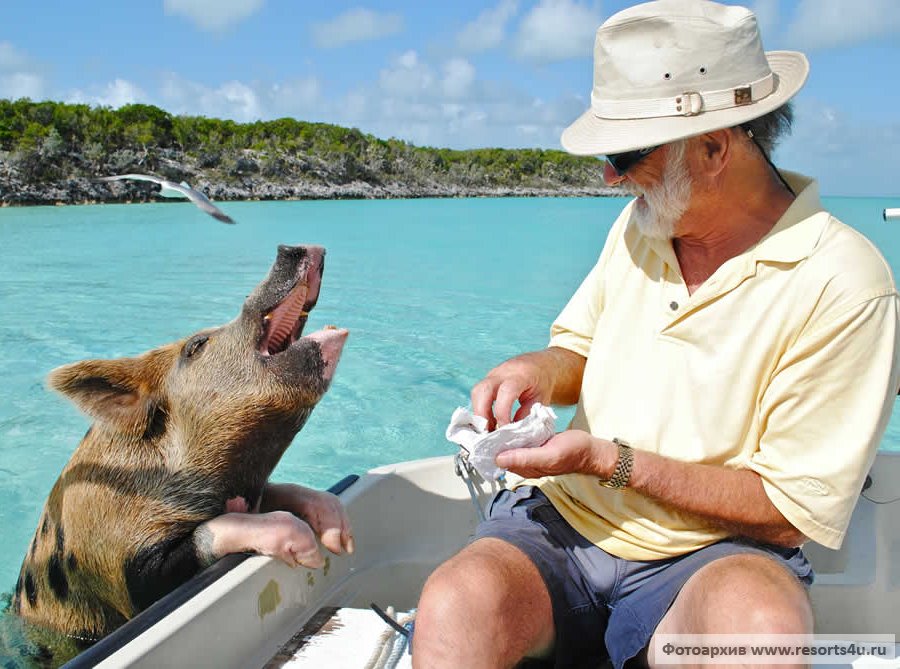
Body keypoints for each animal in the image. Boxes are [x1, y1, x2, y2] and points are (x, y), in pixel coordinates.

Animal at [13, 243, 356, 644]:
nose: (291, 247)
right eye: (196, 345)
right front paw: (309, 550)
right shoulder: (123, 570)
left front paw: (340, 536)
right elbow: (202, 537)